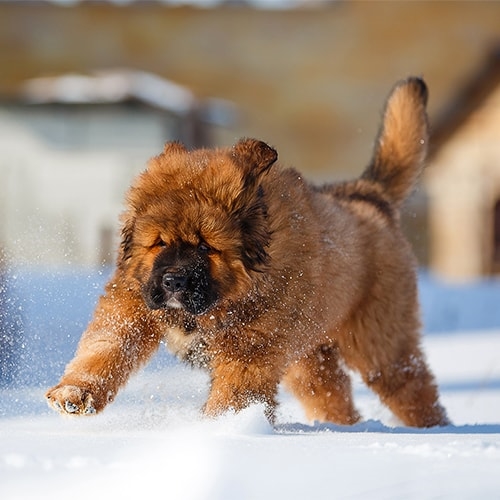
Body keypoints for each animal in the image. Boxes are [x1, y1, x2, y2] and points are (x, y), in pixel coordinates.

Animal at [46, 77, 450, 426]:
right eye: (159, 242)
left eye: (206, 246)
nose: (173, 281)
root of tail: (368, 194)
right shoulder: (134, 301)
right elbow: (107, 347)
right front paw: (75, 392)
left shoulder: (249, 351)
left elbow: (232, 395)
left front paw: (217, 432)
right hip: (308, 355)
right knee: (331, 391)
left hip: (380, 341)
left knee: (413, 387)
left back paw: (435, 429)